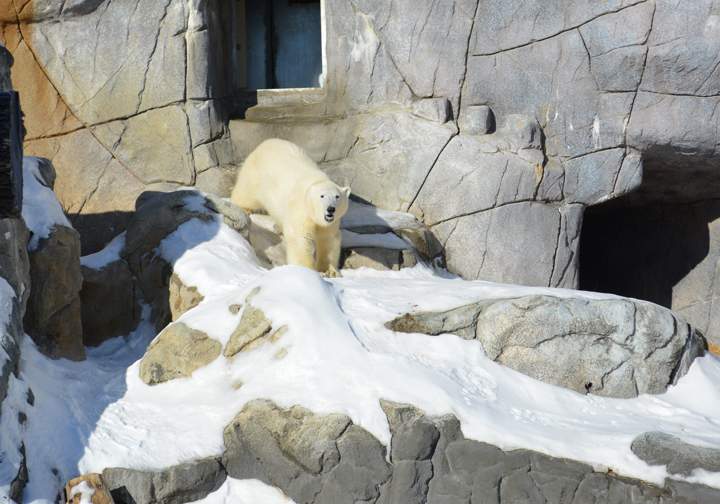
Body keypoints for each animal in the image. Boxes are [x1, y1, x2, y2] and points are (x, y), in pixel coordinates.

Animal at [230, 138, 351, 277]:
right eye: (322, 196)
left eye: (337, 196)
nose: (331, 209)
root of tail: (265, 143)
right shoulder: (301, 211)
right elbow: (300, 239)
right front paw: (307, 270)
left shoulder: (330, 223)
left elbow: (328, 240)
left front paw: (329, 271)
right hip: (255, 177)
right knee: (246, 193)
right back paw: (243, 208)